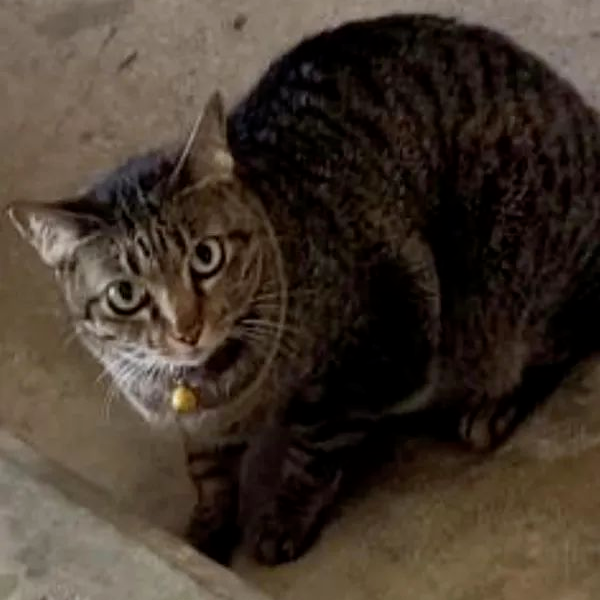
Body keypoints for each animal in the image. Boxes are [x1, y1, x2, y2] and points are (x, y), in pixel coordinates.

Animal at [7, 14, 600, 565]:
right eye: (125, 295)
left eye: (206, 256)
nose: (186, 328)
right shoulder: (202, 428)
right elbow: (207, 470)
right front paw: (208, 524)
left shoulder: (384, 337)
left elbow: (314, 447)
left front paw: (285, 517)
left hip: (509, 273)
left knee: (560, 340)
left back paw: (494, 407)